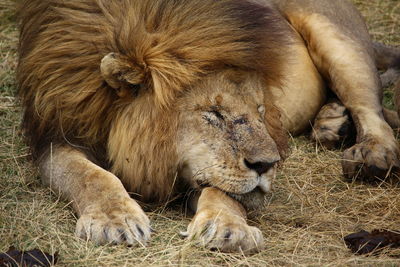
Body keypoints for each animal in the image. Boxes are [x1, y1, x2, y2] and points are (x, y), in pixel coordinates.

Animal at [16, 0, 400, 253]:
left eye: (261, 110)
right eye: (214, 113)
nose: (268, 165)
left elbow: (225, 191)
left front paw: (229, 228)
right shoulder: (56, 136)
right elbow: (91, 176)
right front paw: (115, 221)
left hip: (338, 39)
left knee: (372, 108)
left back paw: (371, 155)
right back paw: (332, 123)